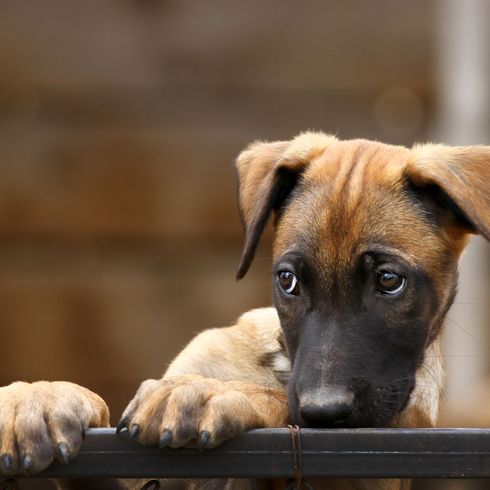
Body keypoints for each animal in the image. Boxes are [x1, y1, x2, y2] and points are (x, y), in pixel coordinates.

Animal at [0, 133, 488, 490]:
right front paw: (36, 397)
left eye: (389, 280)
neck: (281, 363)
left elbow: (277, 406)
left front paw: (211, 393)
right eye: (287, 280)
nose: (324, 412)